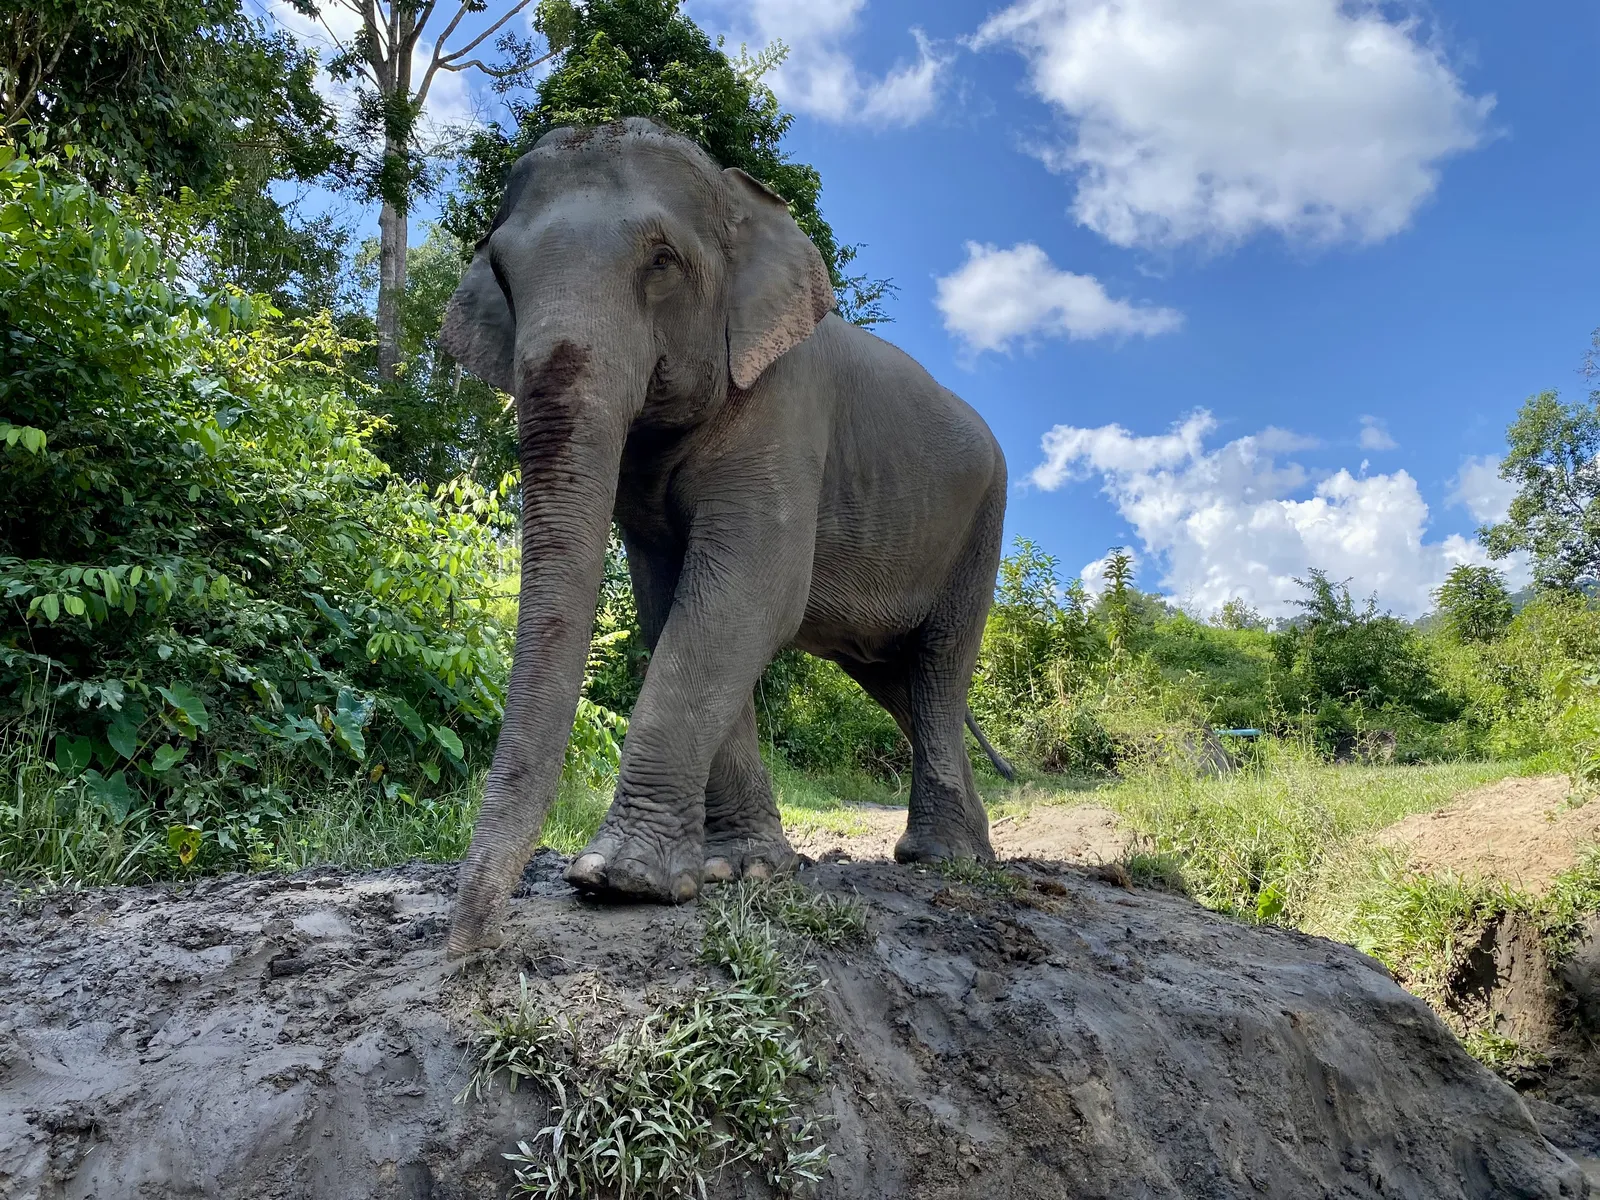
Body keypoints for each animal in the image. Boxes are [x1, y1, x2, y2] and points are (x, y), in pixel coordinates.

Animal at [441, 118, 1012, 956]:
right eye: (503, 274)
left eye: (662, 261)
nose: (471, 944)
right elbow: (670, 603)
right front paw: (741, 870)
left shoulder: (785, 407)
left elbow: (747, 597)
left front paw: (617, 881)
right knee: (899, 682)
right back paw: (972, 851)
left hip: (982, 523)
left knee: (939, 666)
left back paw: (942, 859)